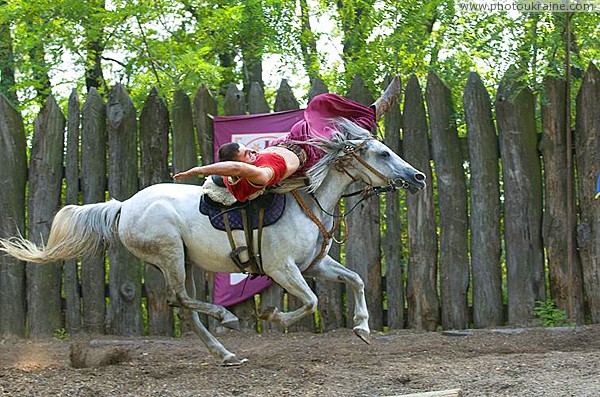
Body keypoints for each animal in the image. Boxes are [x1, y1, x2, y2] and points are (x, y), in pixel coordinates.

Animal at [0, 118, 424, 366]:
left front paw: (362, 327)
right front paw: (273, 317)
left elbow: (356, 280)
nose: (418, 177)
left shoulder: (314, 265)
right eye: (383, 153)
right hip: (170, 253)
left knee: (183, 306)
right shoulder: (282, 268)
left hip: (181, 262)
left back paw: (224, 352)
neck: (308, 200)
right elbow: (310, 302)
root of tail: (123, 206)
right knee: (182, 300)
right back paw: (227, 319)